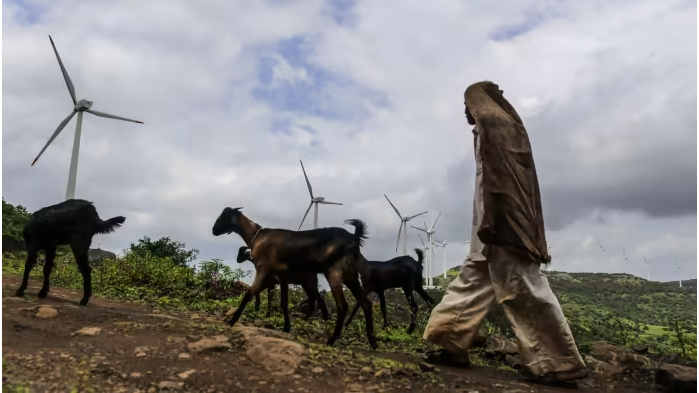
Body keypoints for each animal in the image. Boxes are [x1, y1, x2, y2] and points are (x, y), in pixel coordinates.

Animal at [212, 207, 378, 348]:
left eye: (222, 216)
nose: (214, 230)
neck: (257, 237)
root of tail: (354, 237)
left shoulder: (263, 269)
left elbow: (249, 294)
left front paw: (232, 321)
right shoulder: (282, 275)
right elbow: (284, 302)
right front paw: (287, 327)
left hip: (333, 271)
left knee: (342, 305)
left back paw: (331, 340)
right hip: (350, 274)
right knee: (366, 303)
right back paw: (373, 342)